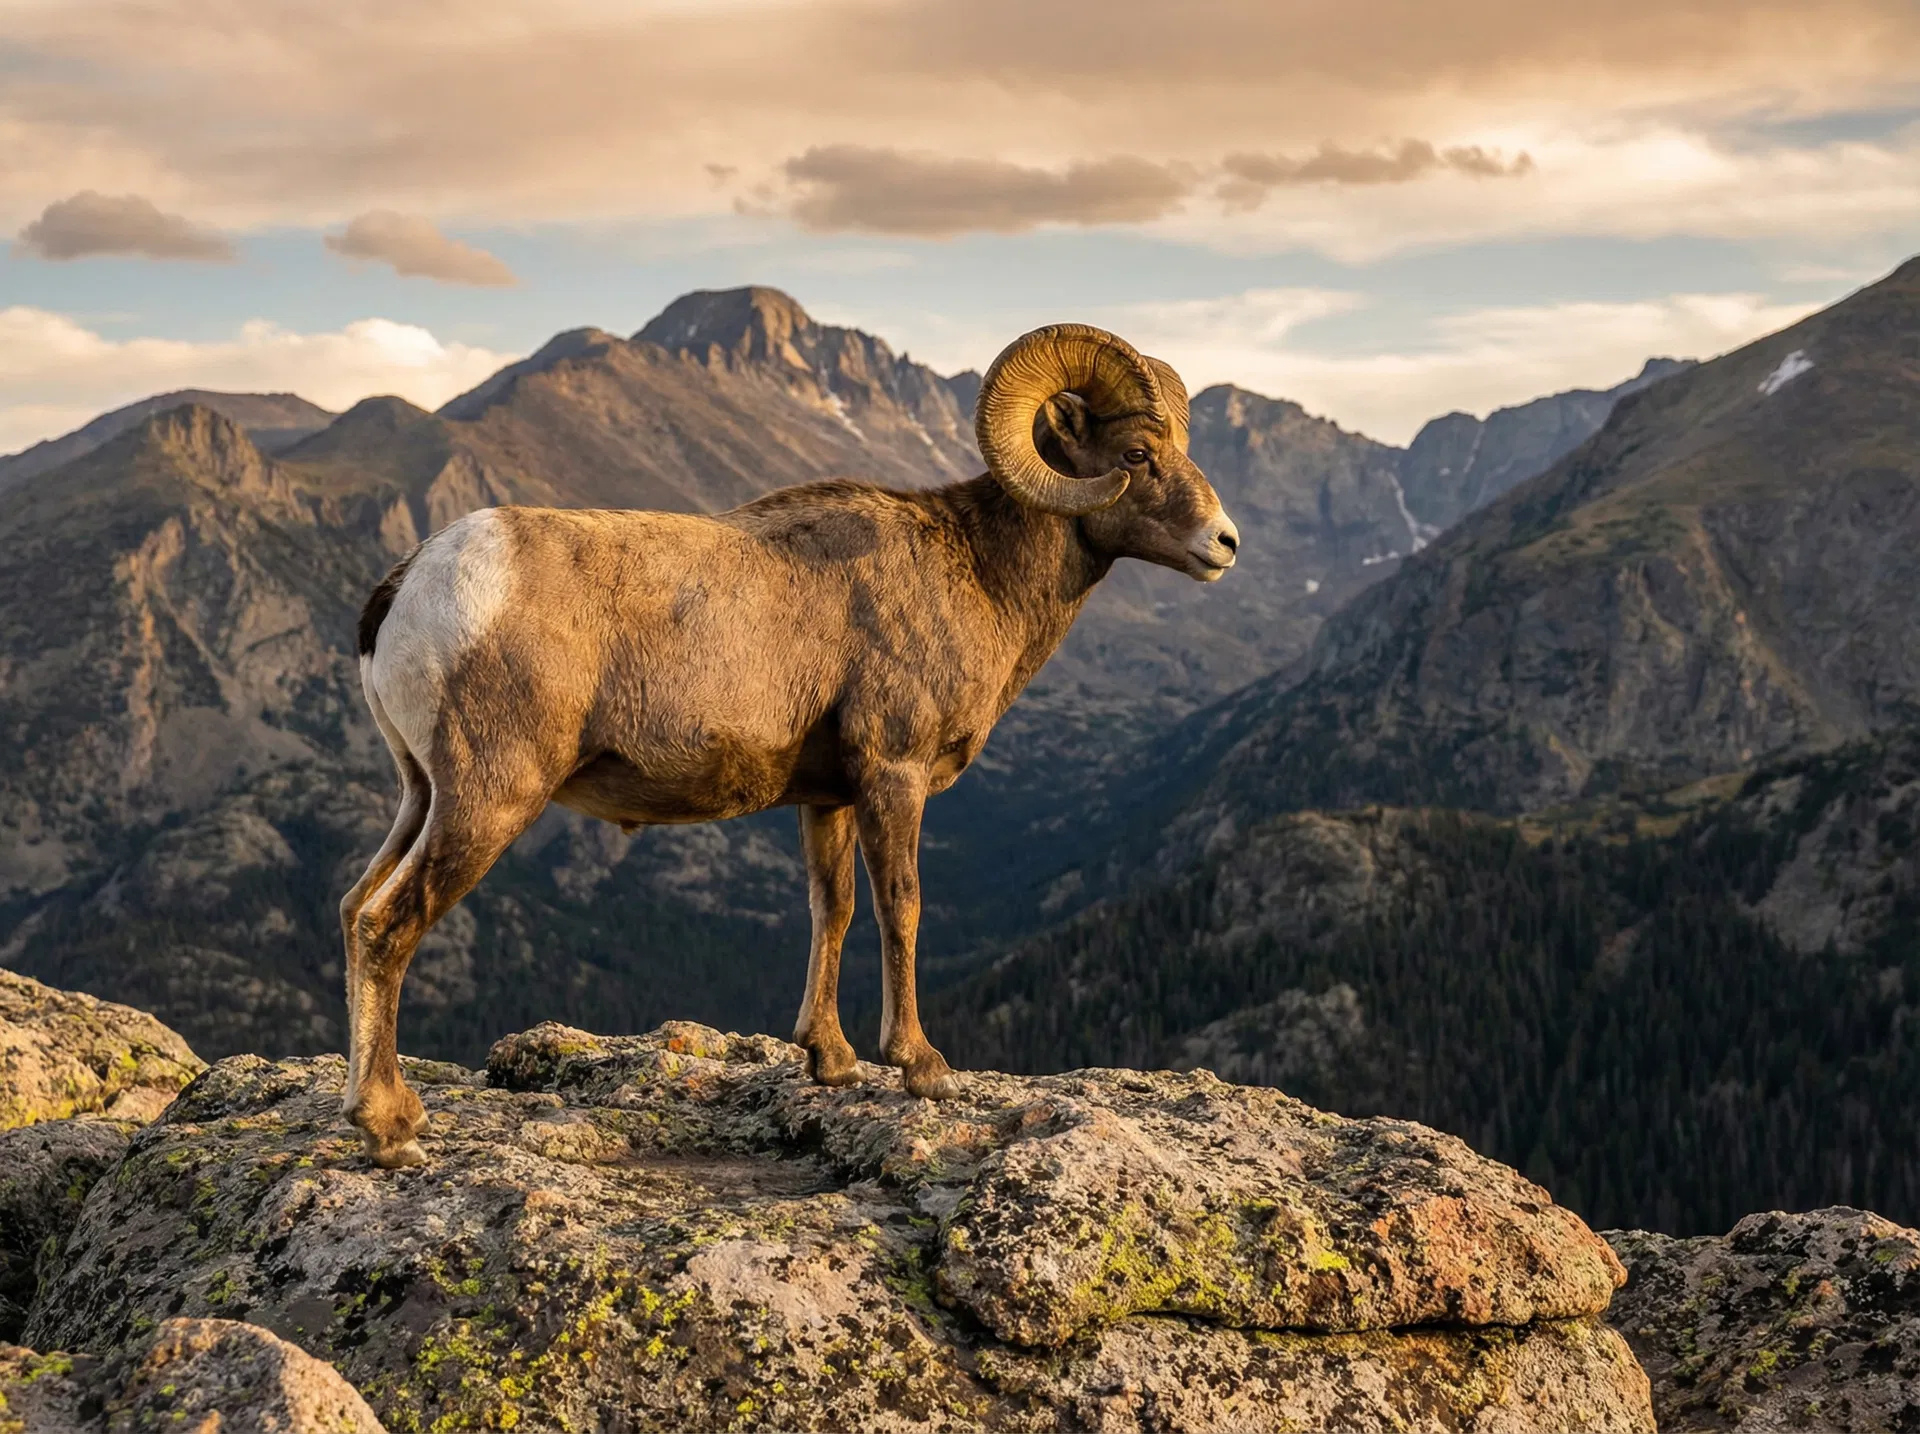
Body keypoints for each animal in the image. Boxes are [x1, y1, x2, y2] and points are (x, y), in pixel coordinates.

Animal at [342, 323, 1240, 1167]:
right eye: (1135, 454)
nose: (1225, 544)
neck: (978, 574)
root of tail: (411, 583)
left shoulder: (826, 799)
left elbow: (831, 908)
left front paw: (830, 1061)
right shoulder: (893, 777)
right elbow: (899, 905)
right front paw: (922, 1068)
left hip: (422, 796)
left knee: (355, 910)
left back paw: (381, 1114)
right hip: (490, 800)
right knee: (388, 926)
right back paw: (393, 1134)